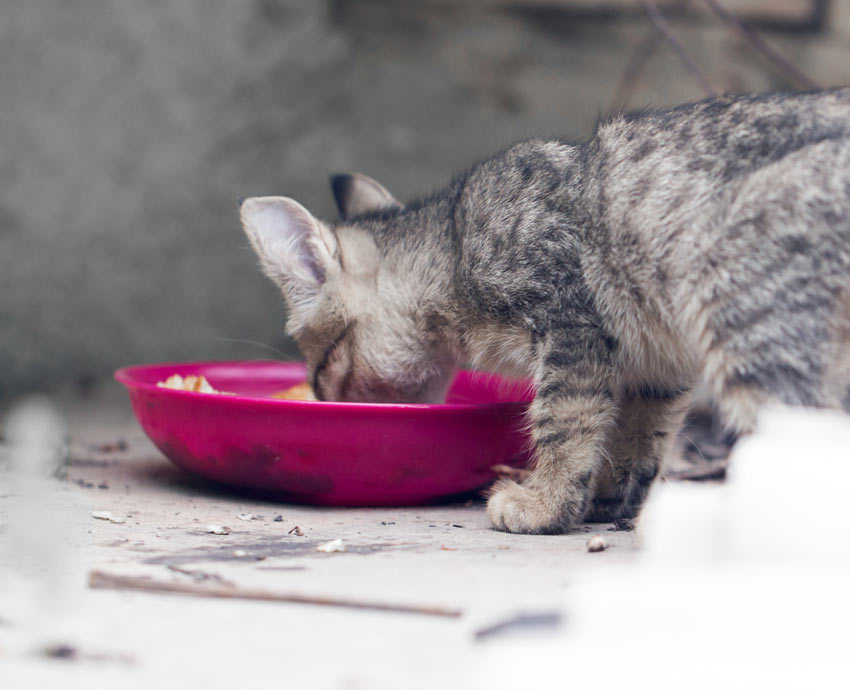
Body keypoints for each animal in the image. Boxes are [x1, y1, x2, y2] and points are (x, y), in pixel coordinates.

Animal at [237, 88, 848, 532]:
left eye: (322, 371)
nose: (324, 400)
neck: (451, 248)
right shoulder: (655, 363)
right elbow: (635, 435)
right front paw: (603, 499)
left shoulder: (571, 323)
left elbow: (565, 421)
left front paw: (545, 504)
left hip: (741, 308)